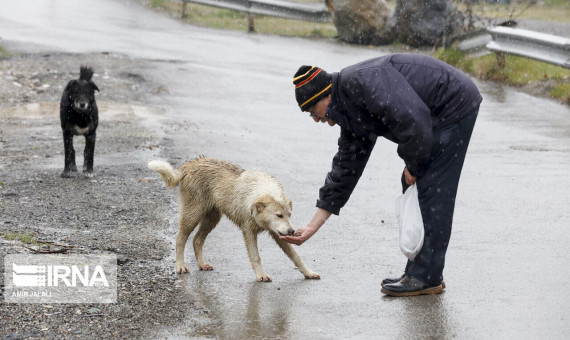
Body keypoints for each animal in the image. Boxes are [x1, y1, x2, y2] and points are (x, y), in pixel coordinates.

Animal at [146, 157, 320, 282]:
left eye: (289, 214)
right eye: (279, 215)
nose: (292, 231)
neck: (259, 191)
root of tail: (193, 163)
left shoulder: (277, 233)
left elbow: (296, 256)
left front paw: (309, 273)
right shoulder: (248, 231)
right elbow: (256, 257)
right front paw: (261, 275)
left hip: (212, 218)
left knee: (197, 240)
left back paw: (202, 264)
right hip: (192, 215)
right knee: (181, 238)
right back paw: (180, 266)